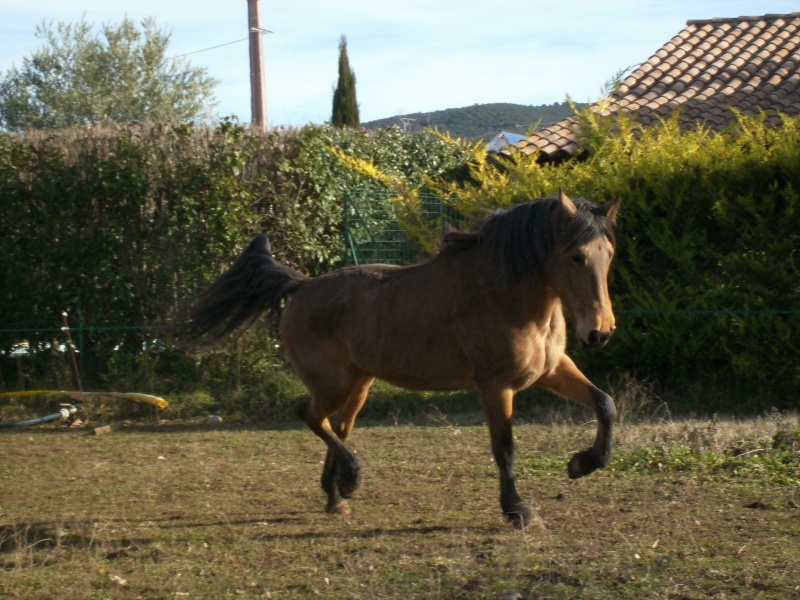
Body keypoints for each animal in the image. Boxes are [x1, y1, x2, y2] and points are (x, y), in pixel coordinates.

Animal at [186, 192, 620, 528]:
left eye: (609, 254)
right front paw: (518, 511)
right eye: (577, 257)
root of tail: (302, 286)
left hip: (358, 385)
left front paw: (584, 463)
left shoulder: (552, 370)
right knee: (310, 416)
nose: (599, 333)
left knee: (336, 426)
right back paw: (351, 479)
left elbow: (605, 404)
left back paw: (336, 496)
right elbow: (505, 449)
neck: (505, 296)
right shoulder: (496, 387)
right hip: (333, 384)